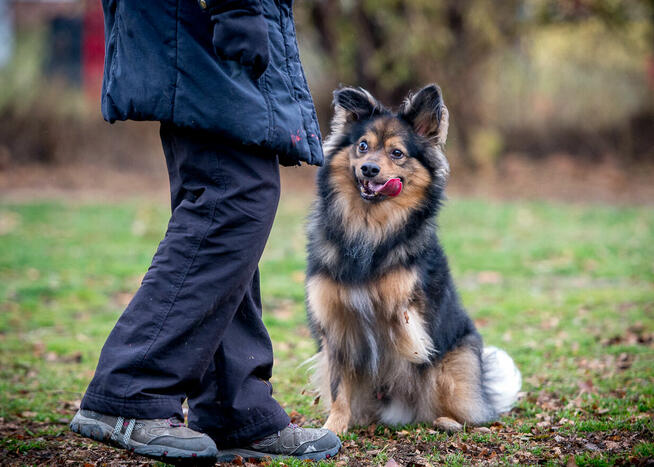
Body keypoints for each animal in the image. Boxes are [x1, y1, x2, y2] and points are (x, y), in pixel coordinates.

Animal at [306, 84, 524, 436]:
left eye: (397, 153)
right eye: (362, 146)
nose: (369, 169)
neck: (368, 225)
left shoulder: (407, 306)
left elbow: (403, 317)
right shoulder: (335, 325)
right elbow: (339, 389)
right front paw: (333, 428)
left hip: (454, 366)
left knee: (465, 413)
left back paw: (449, 421)